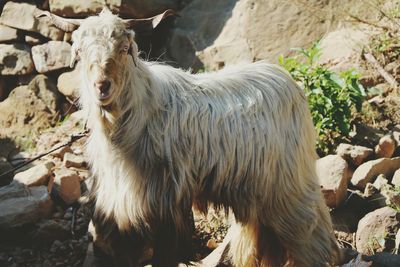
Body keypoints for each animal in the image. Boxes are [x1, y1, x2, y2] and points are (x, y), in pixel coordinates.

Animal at [41, 7, 338, 267]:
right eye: (79, 52)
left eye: (124, 49)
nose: (102, 86)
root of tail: (288, 83)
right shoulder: (120, 211)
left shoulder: (165, 206)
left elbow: (166, 254)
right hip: (255, 194)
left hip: (289, 186)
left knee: (310, 234)